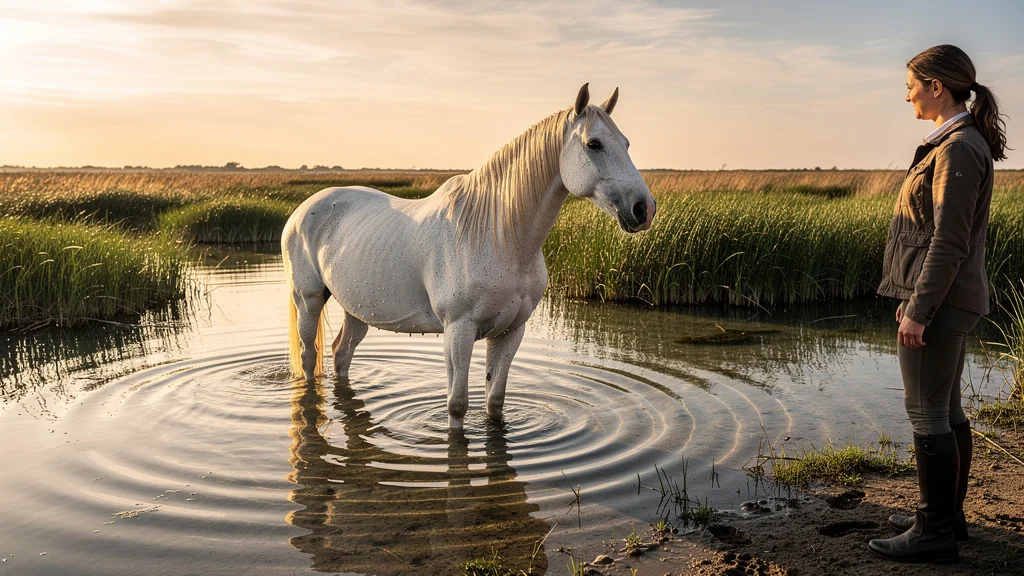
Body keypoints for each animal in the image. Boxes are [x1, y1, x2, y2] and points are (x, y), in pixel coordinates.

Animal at [283, 83, 655, 429]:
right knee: (309, 356)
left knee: (341, 353)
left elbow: (495, 401)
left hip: (356, 308)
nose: (644, 209)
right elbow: (457, 404)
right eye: (594, 144)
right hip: (309, 299)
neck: (498, 236)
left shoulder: (511, 331)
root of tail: (302, 210)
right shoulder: (458, 331)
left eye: (626, 143)